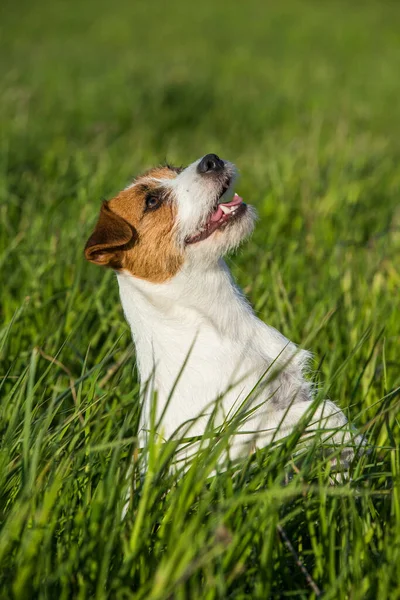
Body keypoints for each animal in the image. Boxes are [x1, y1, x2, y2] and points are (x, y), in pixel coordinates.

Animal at [85, 152, 362, 462]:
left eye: (176, 169)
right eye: (152, 201)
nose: (211, 160)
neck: (218, 318)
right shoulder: (233, 435)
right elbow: (322, 412)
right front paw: (351, 440)